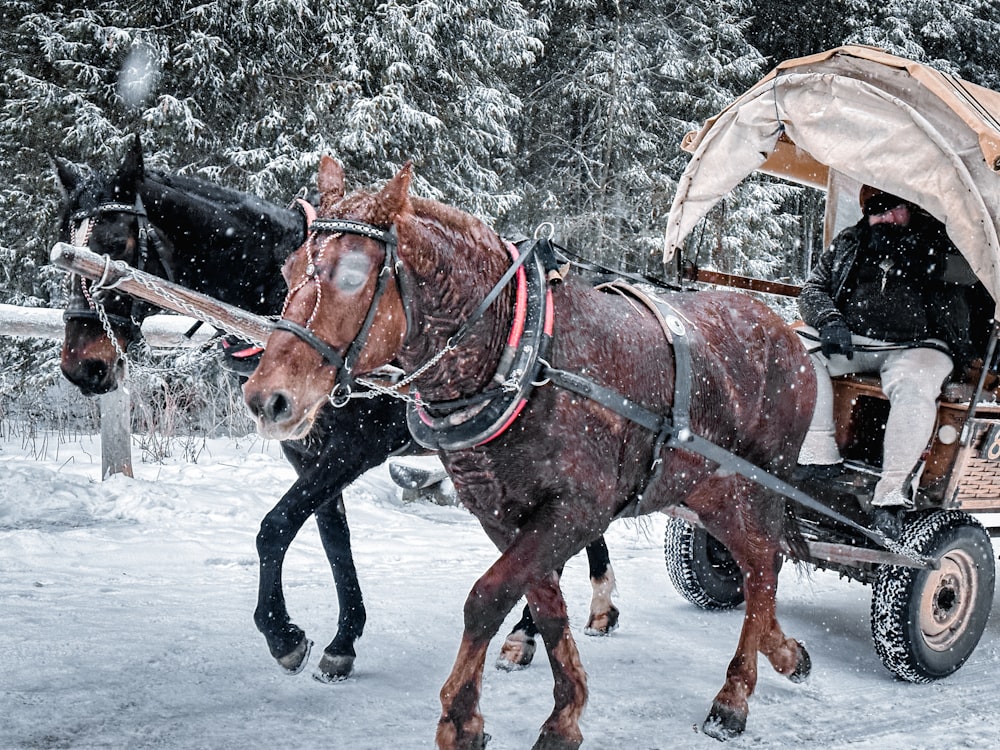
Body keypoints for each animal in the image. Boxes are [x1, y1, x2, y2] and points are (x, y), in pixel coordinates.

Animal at [54, 134, 620, 680]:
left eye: (116, 242)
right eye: (61, 236)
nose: (83, 366)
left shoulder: (356, 445)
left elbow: (275, 527)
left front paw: (284, 635)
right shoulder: (305, 449)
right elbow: (332, 538)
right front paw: (342, 639)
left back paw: (527, 633)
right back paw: (596, 606)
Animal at [244, 159, 820, 748]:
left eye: (354, 275)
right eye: (289, 268)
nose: (267, 399)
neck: (520, 351)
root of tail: (787, 331)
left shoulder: (578, 509)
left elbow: (487, 596)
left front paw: (460, 718)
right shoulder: (502, 512)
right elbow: (545, 602)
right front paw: (564, 710)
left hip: (759, 482)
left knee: (763, 565)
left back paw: (734, 695)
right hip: (708, 490)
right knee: (757, 563)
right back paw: (783, 651)